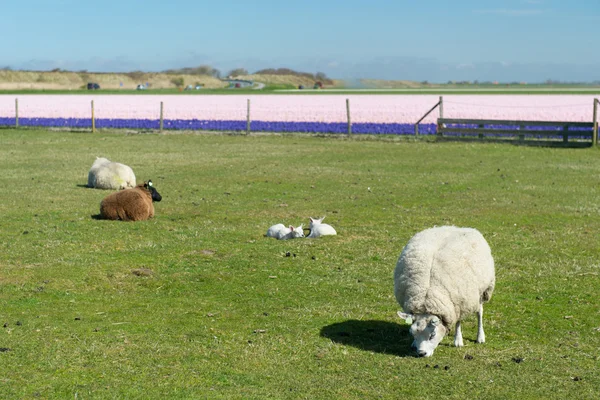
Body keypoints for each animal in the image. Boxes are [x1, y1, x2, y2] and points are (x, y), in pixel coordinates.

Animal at [392, 227, 494, 358]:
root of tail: (455, 227)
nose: (421, 353)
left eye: (432, 335)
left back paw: (480, 337)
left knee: (479, 312)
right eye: (412, 333)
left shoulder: (458, 302)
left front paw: (458, 340)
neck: (427, 299)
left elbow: (458, 322)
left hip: (481, 291)